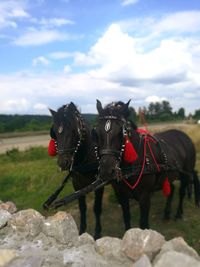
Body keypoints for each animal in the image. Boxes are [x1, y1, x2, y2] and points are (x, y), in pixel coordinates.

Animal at [94, 100, 200, 230]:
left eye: (121, 133)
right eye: (96, 133)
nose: (107, 170)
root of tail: (184, 136)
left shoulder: (144, 197)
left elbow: (143, 224)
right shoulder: (122, 196)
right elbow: (127, 219)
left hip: (185, 173)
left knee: (182, 192)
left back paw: (178, 213)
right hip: (167, 175)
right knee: (172, 189)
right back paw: (166, 214)